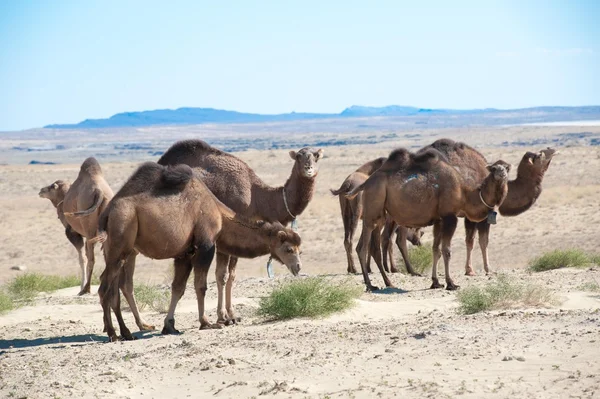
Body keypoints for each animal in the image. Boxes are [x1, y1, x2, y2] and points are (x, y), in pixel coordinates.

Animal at [95, 161, 302, 342]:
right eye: (289, 249)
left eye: (300, 250)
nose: (298, 267)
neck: (219, 215)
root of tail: (107, 212)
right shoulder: (205, 245)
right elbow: (200, 286)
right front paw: (207, 323)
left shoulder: (185, 253)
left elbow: (178, 288)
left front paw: (169, 325)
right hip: (122, 234)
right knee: (105, 287)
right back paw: (113, 334)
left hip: (120, 249)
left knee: (114, 288)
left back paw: (126, 332)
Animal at [157, 139, 322, 324]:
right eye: (299, 157)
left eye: (316, 156)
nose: (308, 169)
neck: (258, 197)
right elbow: (221, 275)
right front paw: (222, 317)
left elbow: (232, 276)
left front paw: (232, 315)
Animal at [346, 148, 510, 292]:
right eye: (493, 169)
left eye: (507, 168)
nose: (501, 173)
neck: (464, 193)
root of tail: (366, 182)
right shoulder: (449, 217)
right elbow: (446, 250)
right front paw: (451, 283)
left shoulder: (439, 220)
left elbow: (435, 250)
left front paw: (435, 282)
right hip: (373, 205)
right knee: (363, 247)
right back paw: (370, 285)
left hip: (380, 214)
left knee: (373, 247)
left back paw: (388, 283)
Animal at [422, 140, 556, 276]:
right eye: (539, 155)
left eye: (507, 168)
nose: (552, 149)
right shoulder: (477, 214)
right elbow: (481, 241)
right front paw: (484, 269)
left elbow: (470, 241)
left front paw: (469, 270)